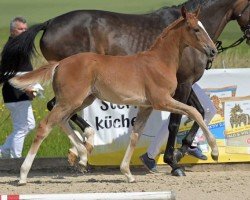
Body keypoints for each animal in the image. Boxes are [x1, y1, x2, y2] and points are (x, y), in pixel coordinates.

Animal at [0, 0, 249, 175]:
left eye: (203, 28)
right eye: (196, 30)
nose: (212, 51)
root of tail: (49, 23)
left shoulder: (171, 93)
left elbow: (200, 112)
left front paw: (185, 151)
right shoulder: (180, 87)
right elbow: (181, 119)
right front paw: (176, 160)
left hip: (83, 95)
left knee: (60, 114)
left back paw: (83, 152)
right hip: (75, 94)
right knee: (53, 115)